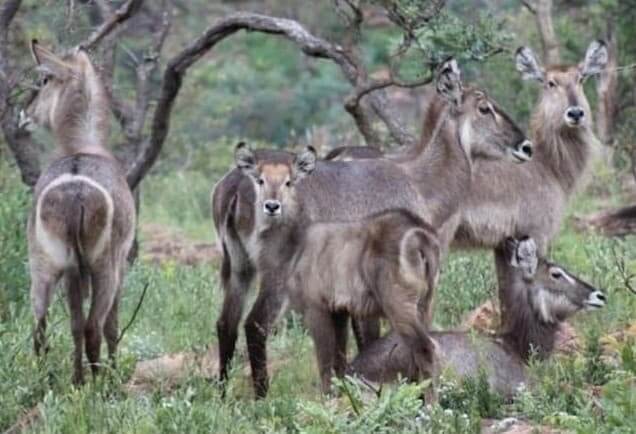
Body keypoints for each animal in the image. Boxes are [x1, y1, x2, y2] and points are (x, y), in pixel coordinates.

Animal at [21, 42, 135, 384]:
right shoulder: (121, 263)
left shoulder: (71, 270)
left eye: (44, 80)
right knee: (95, 326)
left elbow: (71, 323)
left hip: (45, 264)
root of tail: (75, 188)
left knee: (42, 324)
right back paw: (101, 383)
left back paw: (57, 379)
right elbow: (110, 325)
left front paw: (76, 377)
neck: (80, 147)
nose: (24, 114)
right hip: (105, 266)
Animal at [229, 143, 442, 396]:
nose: (272, 206)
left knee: (425, 348)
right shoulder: (339, 309)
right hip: (425, 304)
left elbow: (324, 360)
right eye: (260, 180)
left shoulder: (315, 306)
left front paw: (326, 397)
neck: (295, 242)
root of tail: (420, 236)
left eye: (289, 182)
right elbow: (339, 359)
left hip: (399, 305)